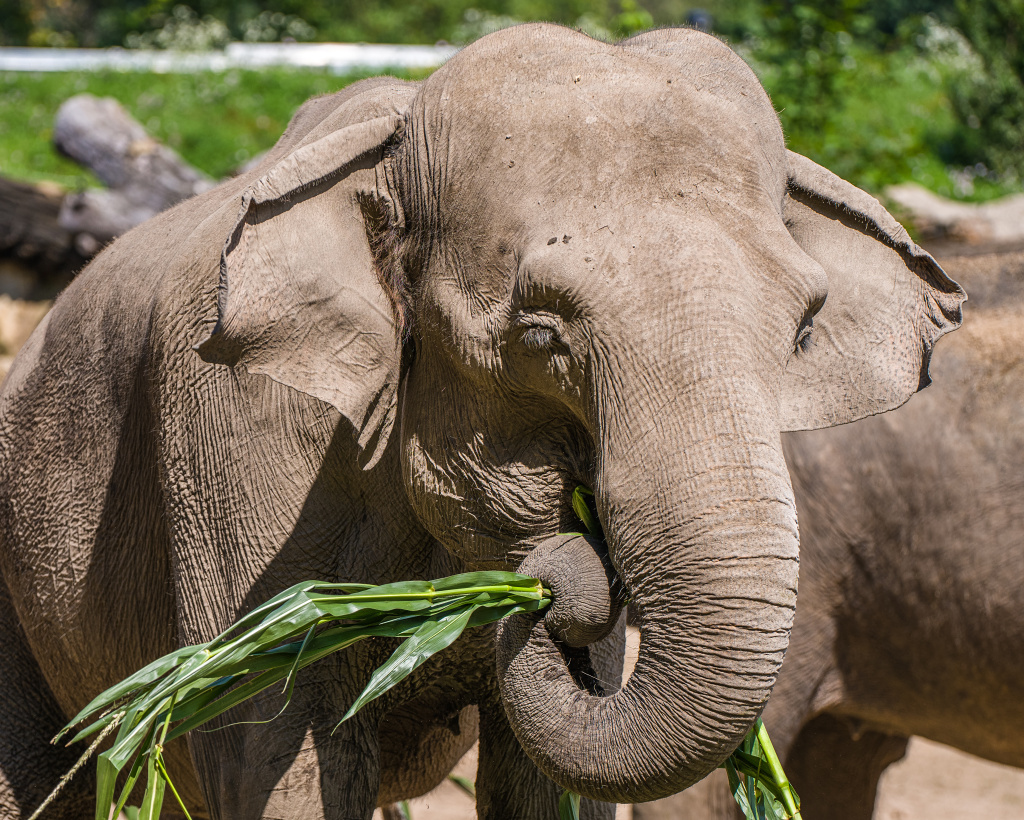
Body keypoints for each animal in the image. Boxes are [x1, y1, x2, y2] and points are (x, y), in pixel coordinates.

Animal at [0, 22, 958, 818]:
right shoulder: (237, 434)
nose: (559, 581)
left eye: (802, 330)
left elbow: (549, 773)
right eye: (540, 334)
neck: (391, 143)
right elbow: (273, 739)